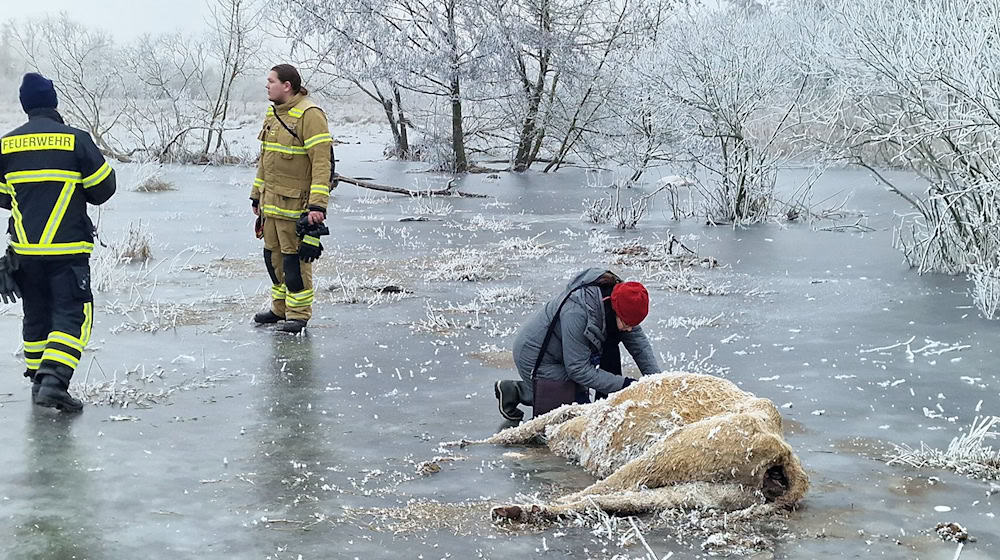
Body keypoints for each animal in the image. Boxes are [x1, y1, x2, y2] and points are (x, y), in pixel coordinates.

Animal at [472, 372, 808, 520]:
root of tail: (783, 454)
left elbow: (534, 423)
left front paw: (474, 442)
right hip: (705, 490)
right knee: (620, 500)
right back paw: (521, 509)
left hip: (668, 452)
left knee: (598, 491)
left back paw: (519, 507)